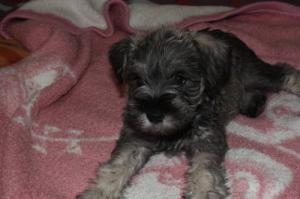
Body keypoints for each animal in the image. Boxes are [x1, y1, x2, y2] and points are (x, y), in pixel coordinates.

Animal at [77, 28, 300, 199]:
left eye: (180, 79)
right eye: (138, 80)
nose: (154, 115)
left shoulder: (207, 141)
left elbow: (204, 173)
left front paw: (203, 192)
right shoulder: (135, 138)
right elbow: (115, 167)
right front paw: (97, 192)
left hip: (254, 73)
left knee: (283, 73)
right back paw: (253, 104)